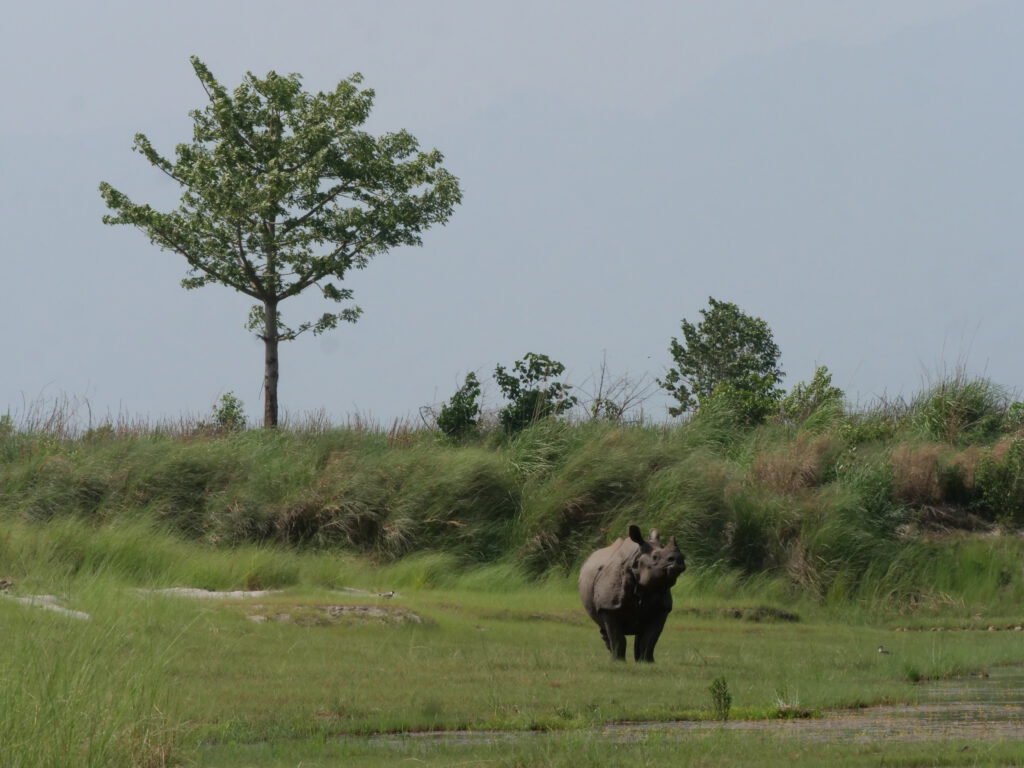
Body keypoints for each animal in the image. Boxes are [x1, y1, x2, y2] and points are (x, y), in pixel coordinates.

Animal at [578, 525, 686, 662]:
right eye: (655, 557)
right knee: (605, 629)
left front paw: (647, 662)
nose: (678, 559)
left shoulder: (662, 609)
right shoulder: (609, 607)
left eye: (682, 556)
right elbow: (618, 638)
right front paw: (618, 662)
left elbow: (649, 639)